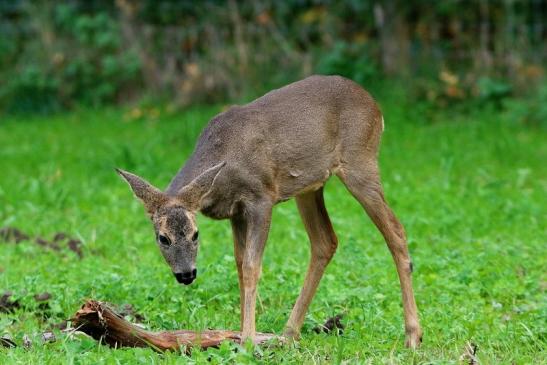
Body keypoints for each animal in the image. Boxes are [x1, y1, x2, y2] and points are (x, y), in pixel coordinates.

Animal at [115, 74, 424, 346]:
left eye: (195, 234)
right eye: (162, 238)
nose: (186, 274)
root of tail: (375, 105)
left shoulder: (261, 197)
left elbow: (252, 266)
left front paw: (248, 340)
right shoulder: (236, 213)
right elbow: (240, 265)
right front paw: (239, 333)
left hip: (360, 161)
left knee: (396, 231)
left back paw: (413, 335)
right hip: (309, 187)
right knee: (325, 241)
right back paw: (289, 334)